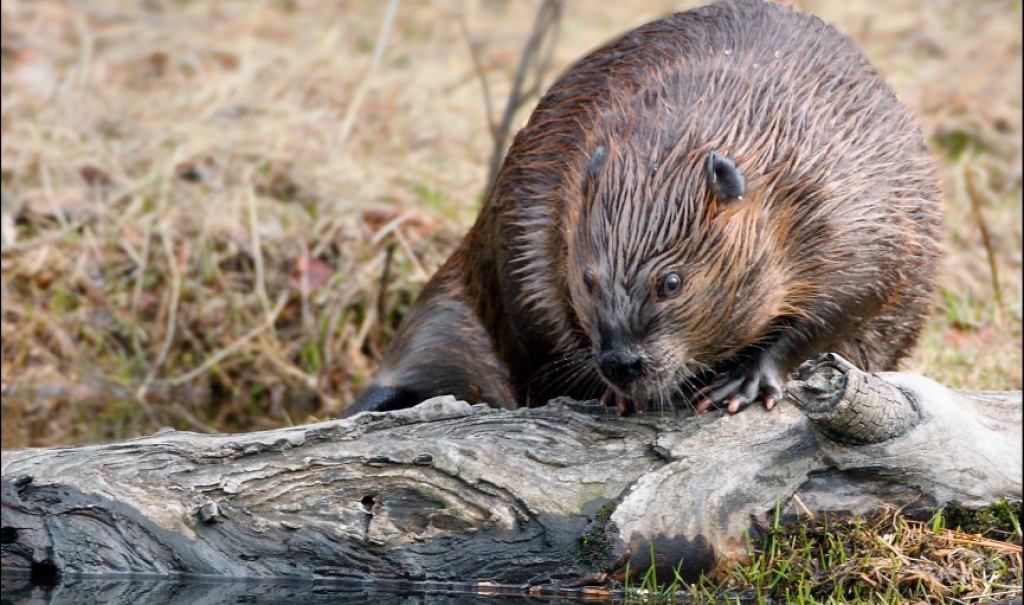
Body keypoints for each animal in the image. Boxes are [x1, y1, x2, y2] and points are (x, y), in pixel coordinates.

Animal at [350, 0, 942, 417]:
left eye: (671, 282)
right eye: (588, 280)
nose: (623, 363)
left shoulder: (851, 205)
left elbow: (856, 294)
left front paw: (744, 382)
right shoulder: (541, 201)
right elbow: (540, 308)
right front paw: (613, 393)